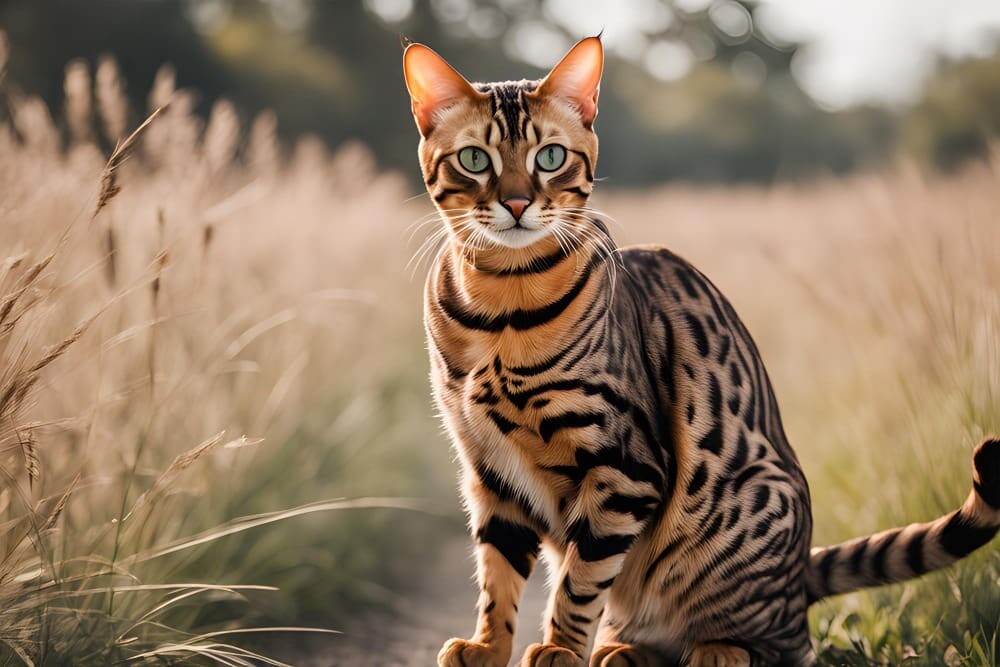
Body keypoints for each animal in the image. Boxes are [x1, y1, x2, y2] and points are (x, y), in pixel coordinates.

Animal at [401, 35, 1000, 666]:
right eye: (475, 160)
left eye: (550, 157)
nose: (516, 203)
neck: (501, 309)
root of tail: (799, 579)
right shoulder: (489, 468)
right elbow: (498, 571)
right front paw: (488, 646)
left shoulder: (626, 466)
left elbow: (578, 580)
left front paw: (559, 648)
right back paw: (623, 650)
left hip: (754, 507)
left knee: (783, 643)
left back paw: (715, 649)